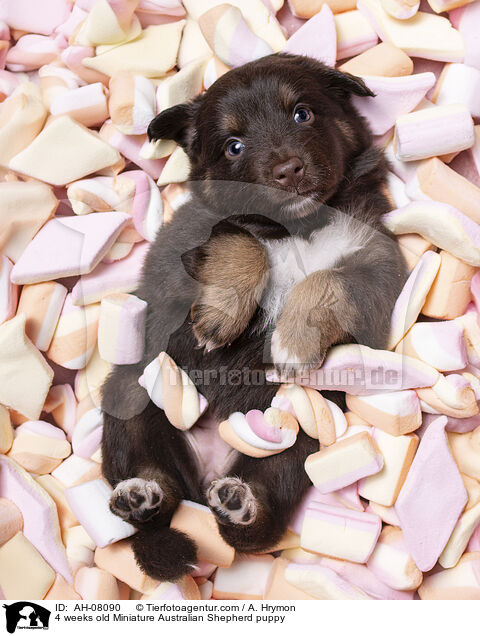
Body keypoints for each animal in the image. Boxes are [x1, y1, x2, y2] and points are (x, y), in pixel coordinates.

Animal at [100, 54, 404, 580]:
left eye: (302, 113)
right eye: (233, 146)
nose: (287, 169)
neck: (298, 226)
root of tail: (206, 473)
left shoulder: (378, 270)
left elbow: (326, 281)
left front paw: (292, 343)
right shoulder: (187, 251)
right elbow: (241, 240)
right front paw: (220, 318)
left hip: (296, 443)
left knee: (254, 527)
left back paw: (241, 503)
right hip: (131, 390)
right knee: (154, 485)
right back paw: (141, 496)